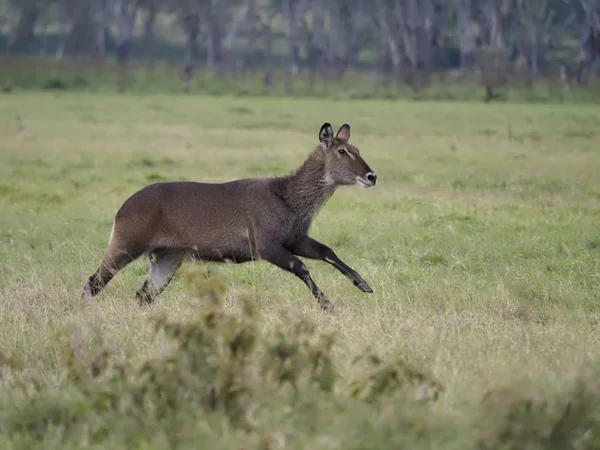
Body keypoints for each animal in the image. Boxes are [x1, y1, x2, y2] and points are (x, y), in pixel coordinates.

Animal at [82, 123, 378, 312]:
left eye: (358, 149)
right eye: (342, 151)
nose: (371, 176)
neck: (285, 197)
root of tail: (122, 207)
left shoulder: (295, 238)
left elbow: (328, 252)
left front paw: (363, 284)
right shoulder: (265, 244)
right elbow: (301, 267)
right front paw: (327, 304)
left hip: (167, 257)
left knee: (143, 295)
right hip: (126, 245)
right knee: (93, 282)